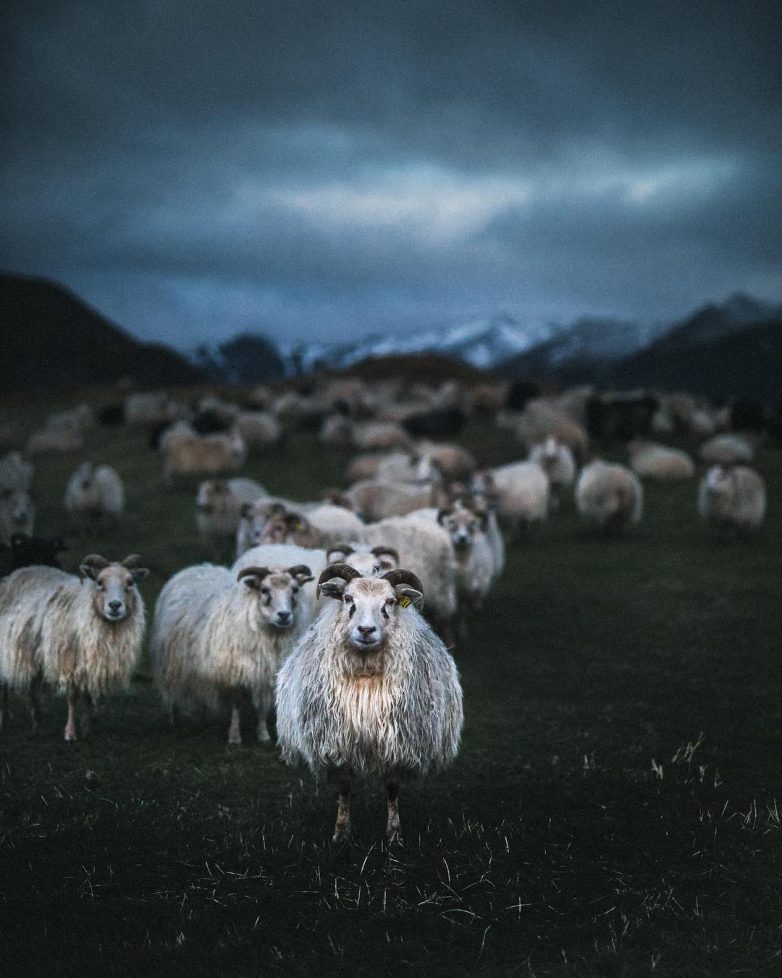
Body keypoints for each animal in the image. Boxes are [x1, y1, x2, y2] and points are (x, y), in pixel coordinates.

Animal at [0, 552, 149, 736]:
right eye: (99, 582)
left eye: (130, 582)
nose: (115, 605)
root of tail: (13, 574)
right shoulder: (68, 660)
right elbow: (72, 697)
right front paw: (70, 732)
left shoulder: (92, 664)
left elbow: (89, 697)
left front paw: (87, 728)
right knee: (5, 684)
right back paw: (5, 717)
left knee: (32, 687)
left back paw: (37, 721)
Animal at [276, 560, 462, 844]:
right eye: (347, 598)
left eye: (390, 601)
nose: (365, 630)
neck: (365, 673)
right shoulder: (339, 740)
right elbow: (344, 787)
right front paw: (341, 833)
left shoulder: (397, 741)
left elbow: (392, 787)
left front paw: (395, 834)